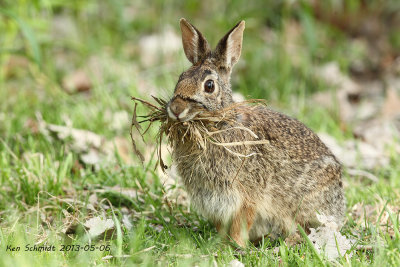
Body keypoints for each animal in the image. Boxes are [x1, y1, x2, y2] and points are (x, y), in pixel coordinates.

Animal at [166, 18, 346, 247]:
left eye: (209, 86)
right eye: (180, 78)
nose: (176, 109)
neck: (219, 126)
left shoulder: (246, 199)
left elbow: (239, 226)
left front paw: (236, 246)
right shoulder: (214, 203)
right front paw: (219, 245)